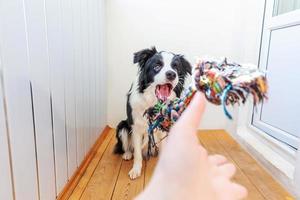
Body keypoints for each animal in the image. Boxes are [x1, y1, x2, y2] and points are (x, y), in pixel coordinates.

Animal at [113, 47, 191, 180]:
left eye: (176, 67)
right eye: (157, 66)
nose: (171, 74)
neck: (153, 103)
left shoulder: (164, 128)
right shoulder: (136, 127)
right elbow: (137, 152)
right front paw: (136, 170)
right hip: (122, 126)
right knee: (126, 146)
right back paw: (127, 154)